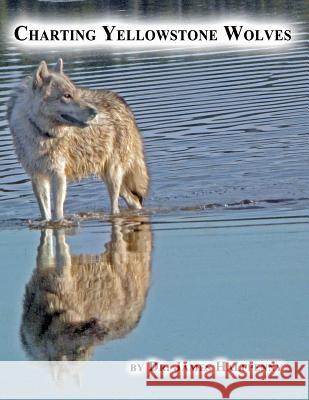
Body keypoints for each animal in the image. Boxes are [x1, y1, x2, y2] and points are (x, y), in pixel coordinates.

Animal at [6, 59, 148, 220]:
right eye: (67, 96)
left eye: (75, 93)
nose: (95, 112)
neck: (39, 132)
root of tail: (122, 101)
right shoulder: (37, 177)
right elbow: (46, 214)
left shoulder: (58, 175)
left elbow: (58, 213)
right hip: (108, 176)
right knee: (134, 200)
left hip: (113, 175)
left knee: (116, 207)